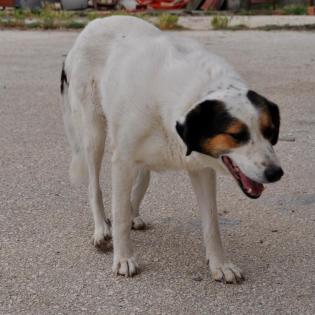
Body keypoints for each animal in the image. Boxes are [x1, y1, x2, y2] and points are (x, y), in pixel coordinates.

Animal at [61, 16, 284, 286]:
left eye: (270, 131)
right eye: (236, 135)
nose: (276, 173)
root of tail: (95, 23)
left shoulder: (201, 168)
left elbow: (211, 222)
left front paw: (220, 264)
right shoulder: (122, 160)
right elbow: (119, 215)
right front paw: (123, 258)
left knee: (143, 178)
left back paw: (133, 213)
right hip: (94, 132)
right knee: (95, 186)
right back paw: (102, 229)